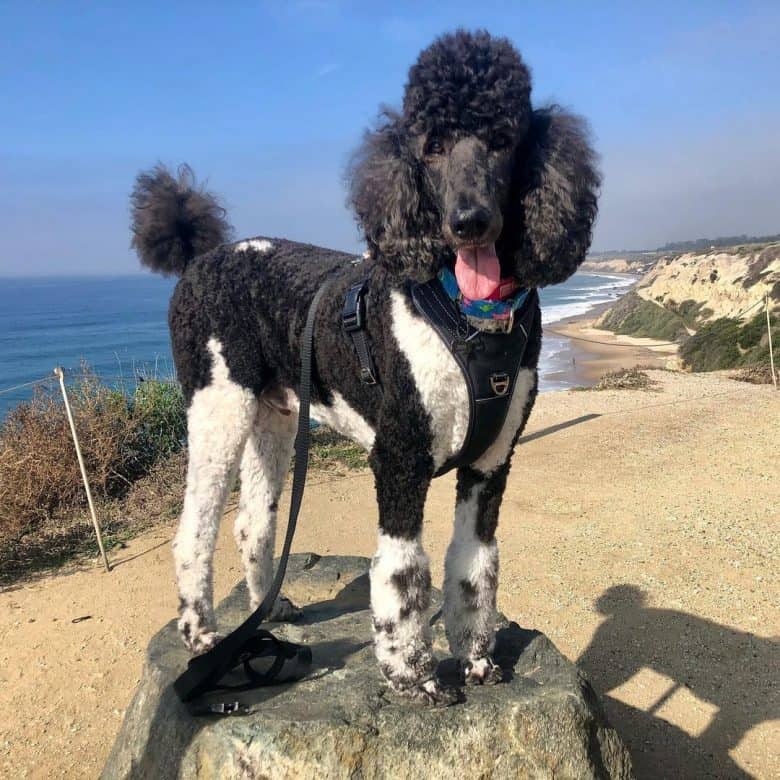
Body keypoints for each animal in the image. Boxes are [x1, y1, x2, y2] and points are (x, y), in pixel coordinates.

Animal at [131, 30, 600, 704]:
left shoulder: (489, 463)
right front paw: (413, 674)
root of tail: (205, 255)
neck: (470, 316)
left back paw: (270, 611)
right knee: (195, 528)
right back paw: (201, 633)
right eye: (431, 146)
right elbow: (403, 574)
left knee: (251, 522)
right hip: (219, 404)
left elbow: (474, 565)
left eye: (503, 139)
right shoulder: (399, 459)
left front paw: (477, 659)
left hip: (275, 421)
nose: (469, 221)